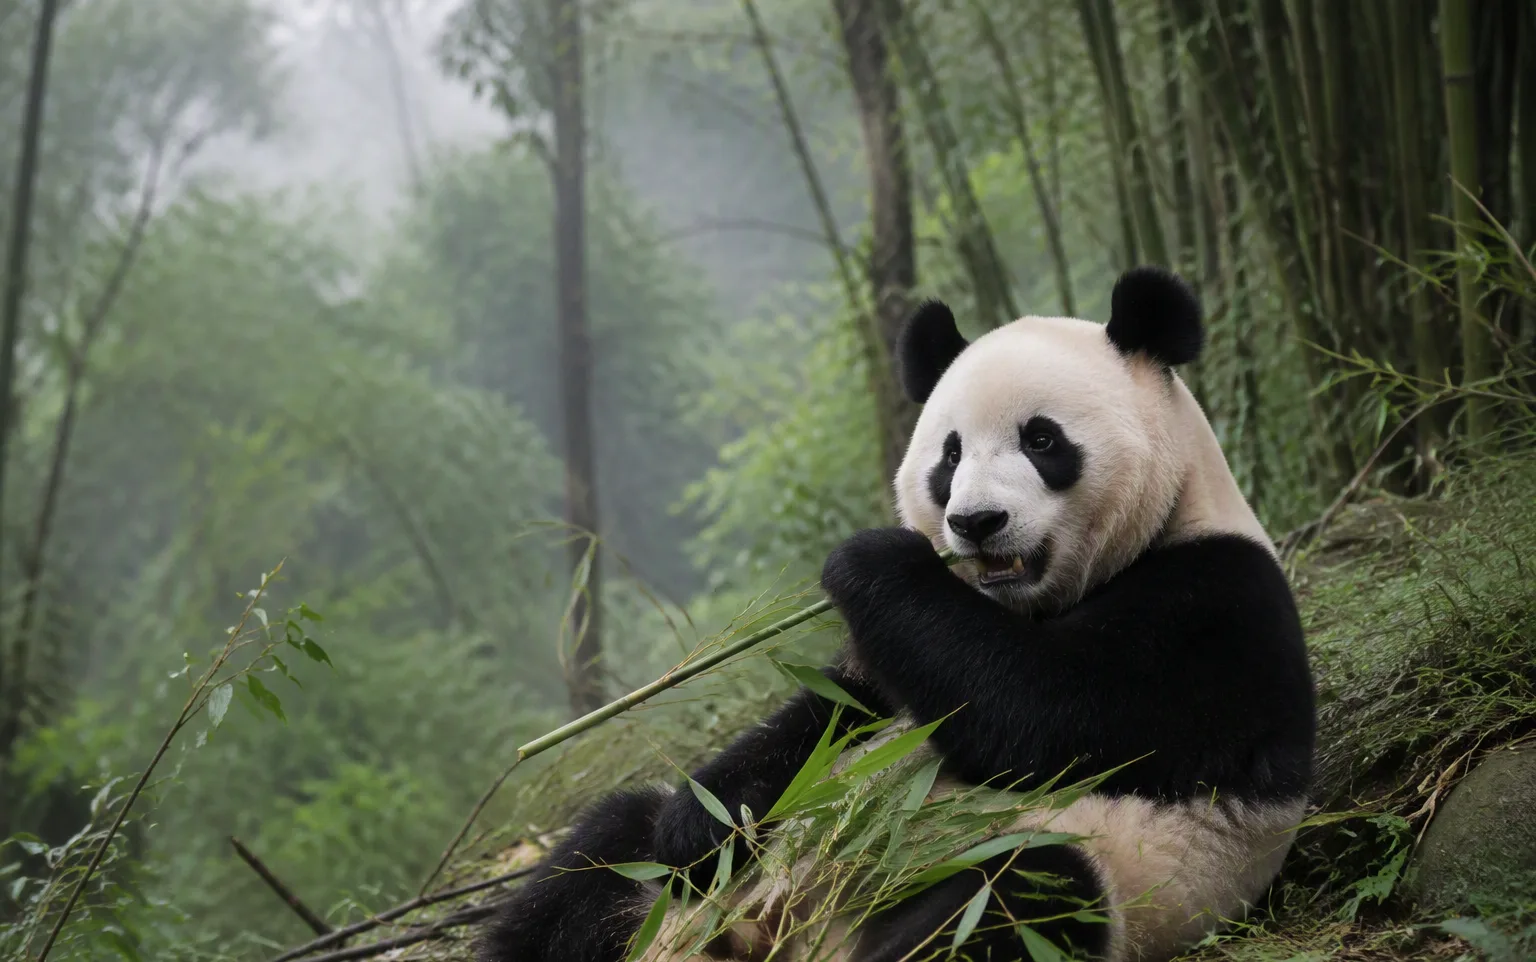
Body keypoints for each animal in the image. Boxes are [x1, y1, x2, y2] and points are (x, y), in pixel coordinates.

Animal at [478, 266, 1316, 962]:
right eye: (949, 455)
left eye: (1042, 439)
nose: (975, 523)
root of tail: (765, 934)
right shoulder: (882, 676)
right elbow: (829, 716)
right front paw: (703, 821)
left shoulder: (1215, 604)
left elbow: (1051, 712)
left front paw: (870, 558)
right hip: (665, 892)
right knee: (600, 856)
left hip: (1070, 874)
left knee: (1014, 898)